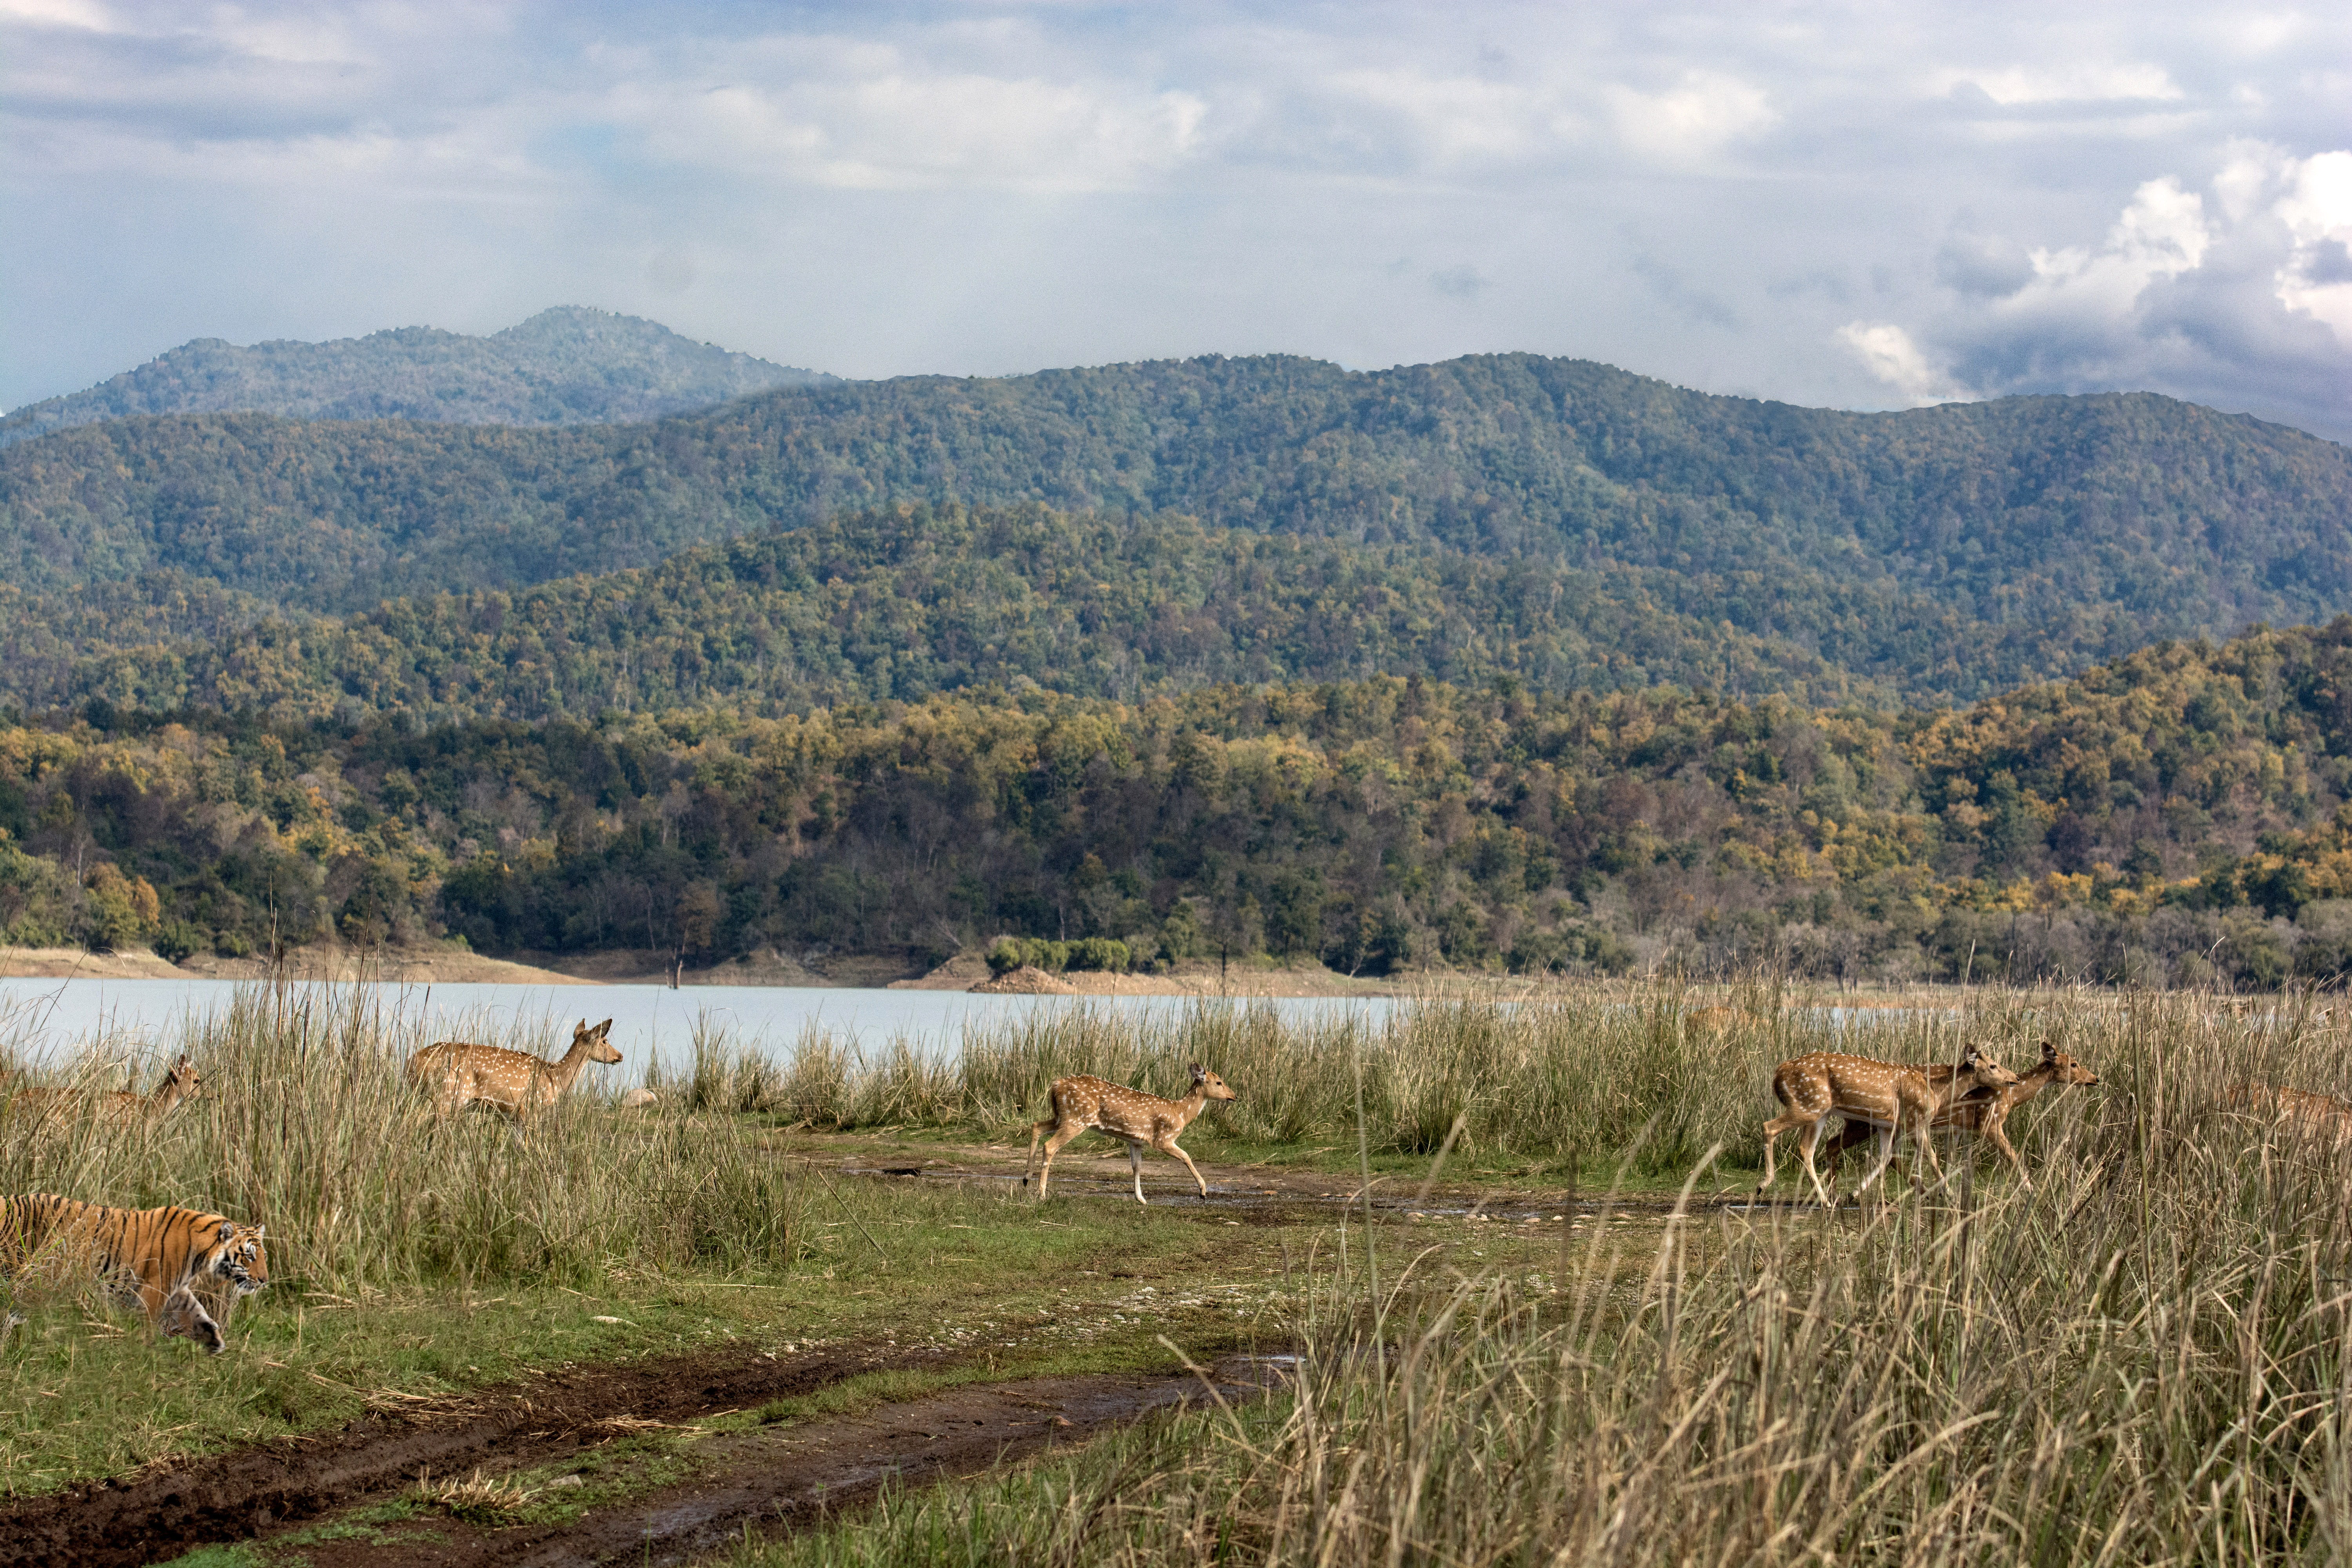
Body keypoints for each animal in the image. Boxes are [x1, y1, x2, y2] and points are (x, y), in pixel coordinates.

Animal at [405, 1019, 621, 1141]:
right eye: (605, 1041)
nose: (620, 1056)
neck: (554, 1078)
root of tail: (413, 1062)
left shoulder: (515, 1116)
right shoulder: (531, 1108)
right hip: (450, 1093)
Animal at [1023, 1063, 1238, 1204]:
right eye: (1219, 1082)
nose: (1235, 1096)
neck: (1182, 1114)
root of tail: (1055, 1086)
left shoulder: (1136, 1141)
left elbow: (1137, 1167)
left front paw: (1141, 1199)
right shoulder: (1163, 1138)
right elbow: (1186, 1156)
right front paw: (1203, 1191)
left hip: (1062, 1116)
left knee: (1036, 1126)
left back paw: (1026, 1179)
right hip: (1076, 1119)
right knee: (1049, 1146)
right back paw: (1041, 1194)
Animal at [1757, 1043, 2021, 1207]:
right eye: (1993, 1065)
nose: (2016, 1078)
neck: (1936, 1092)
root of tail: (1777, 1075)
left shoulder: (1887, 1124)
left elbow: (1885, 1157)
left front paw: (1857, 1194)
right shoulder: (1916, 1120)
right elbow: (1932, 1157)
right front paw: (1950, 1195)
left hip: (1819, 1111)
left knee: (1807, 1149)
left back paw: (1826, 1200)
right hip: (1808, 1105)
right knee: (1769, 1127)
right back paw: (1765, 1185)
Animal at [1816, 1038, 2098, 1193]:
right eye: (2074, 1064)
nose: (2095, 1079)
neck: (2012, 1098)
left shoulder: (1958, 1129)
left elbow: (1954, 1160)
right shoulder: (1989, 1121)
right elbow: (2015, 1156)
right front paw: (2030, 1189)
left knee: (1856, 1149)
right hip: (1867, 1124)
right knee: (1840, 1146)